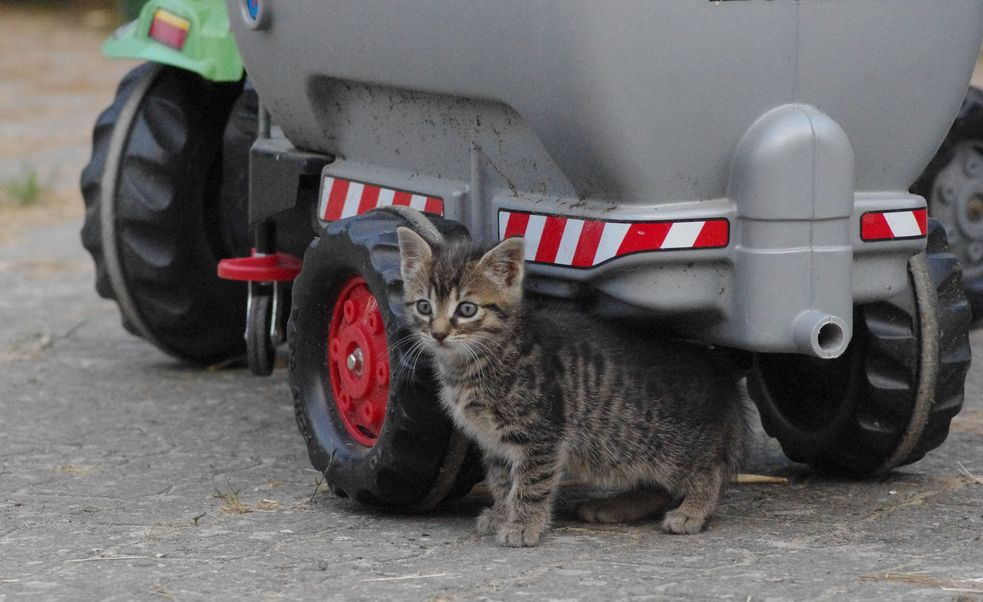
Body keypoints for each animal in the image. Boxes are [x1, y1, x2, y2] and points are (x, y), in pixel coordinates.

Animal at [398, 227, 744, 548]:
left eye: (467, 309)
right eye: (424, 307)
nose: (438, 334)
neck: (480, 359)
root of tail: (717, 364)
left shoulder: (541, 434)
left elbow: (530, 483)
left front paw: (523, 525)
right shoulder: (494, 441)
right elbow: (501, 480)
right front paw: (501, 514)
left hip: (670, 443)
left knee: (711, 471)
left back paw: (692, 511)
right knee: (657, 485)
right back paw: (615, 506)